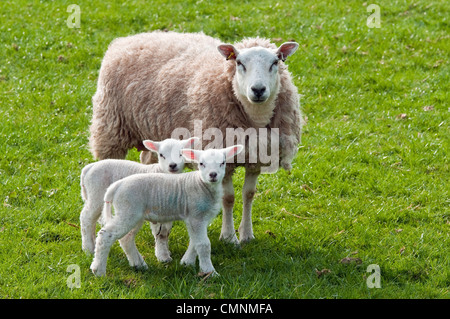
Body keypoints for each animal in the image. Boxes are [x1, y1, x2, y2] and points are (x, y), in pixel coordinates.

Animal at [88, 31, 302, 245]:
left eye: (275, 62)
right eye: (239, 63)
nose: (258, 90)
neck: (255, 117)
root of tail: (128, 39)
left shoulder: (256, 157)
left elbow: (248, 194)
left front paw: (247, 235)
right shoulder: (219, 155)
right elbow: (228, 198)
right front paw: (228, 236)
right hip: (111, 127)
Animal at [88, 146, 243, 278]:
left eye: (222, 163)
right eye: (201, 164)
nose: (213, 175)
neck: (202, 184)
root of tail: (116, 186)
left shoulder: (199, 218)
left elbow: (194, 242)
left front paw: (187, 262)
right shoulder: (196, 216)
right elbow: (203, 244)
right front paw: (210, 272)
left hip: (133, 214)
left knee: (127, 238)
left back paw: (139, 265)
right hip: (128, 210)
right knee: (106, 235)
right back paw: (99, 270)